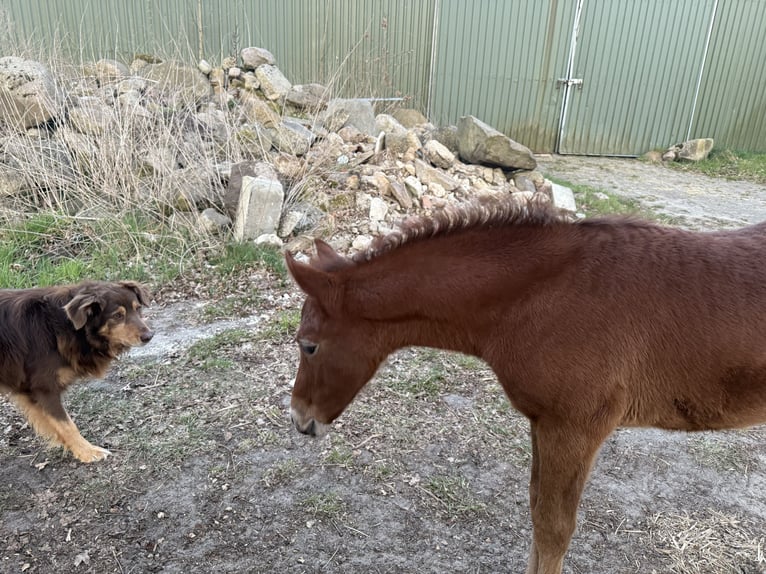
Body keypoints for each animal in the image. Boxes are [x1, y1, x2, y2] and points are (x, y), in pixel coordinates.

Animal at [284, 195, 766, 574]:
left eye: (309, 345)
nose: (300, 419)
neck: (542, 296)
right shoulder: (543, 423)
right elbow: (536, 512)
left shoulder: (573, 429)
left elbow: (554, 529)